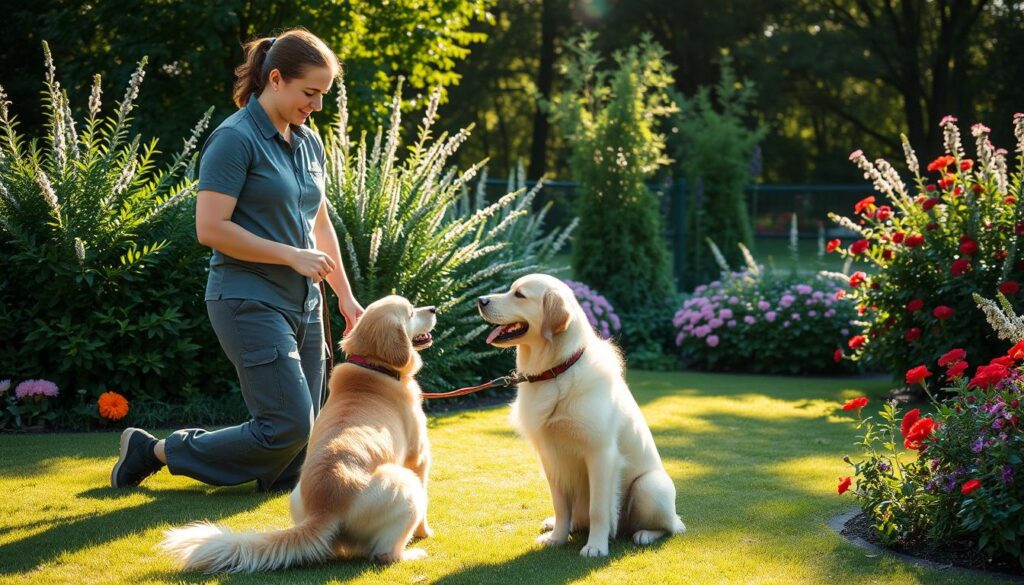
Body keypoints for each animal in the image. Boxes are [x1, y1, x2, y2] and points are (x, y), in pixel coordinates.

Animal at [158, 295, 436, 573]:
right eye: (411, 313)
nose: (433, 308)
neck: (373, 368)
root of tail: (323, 510)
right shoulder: (418, 458)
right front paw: (424, 532)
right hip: (405, 484)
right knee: (384, 553)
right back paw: (412, 554)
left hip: (296, 494)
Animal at [477, 274, 684, 557]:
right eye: (511, 289)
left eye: (519, 294)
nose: (480, 300)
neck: (555, 371)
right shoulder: (550, 457)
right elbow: (560, 505)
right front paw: (557, 537)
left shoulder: (601, 454)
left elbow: (598, 509)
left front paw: (595, 546)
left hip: (651, 485)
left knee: (670, 526)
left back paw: (644, 534)